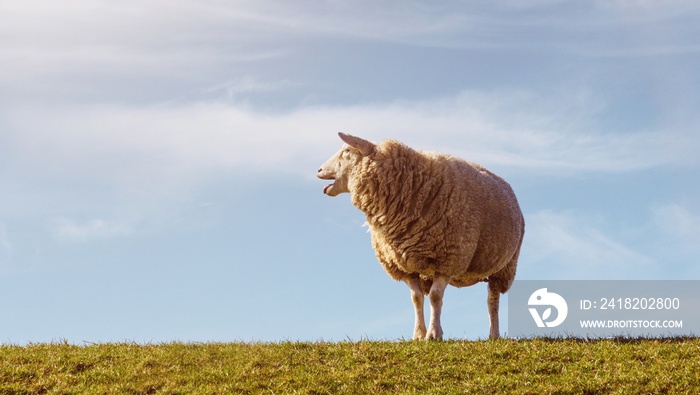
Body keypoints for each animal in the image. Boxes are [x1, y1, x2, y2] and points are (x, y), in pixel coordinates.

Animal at [318, 133, 524, 340]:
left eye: (346, 151)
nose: (319, 170)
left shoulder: (448, 258)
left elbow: (435, 296)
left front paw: (433, 334)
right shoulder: (404, 265)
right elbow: (416, 298)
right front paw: (418, 334)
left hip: (504, 267)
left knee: (492, 301)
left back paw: (494, 334)